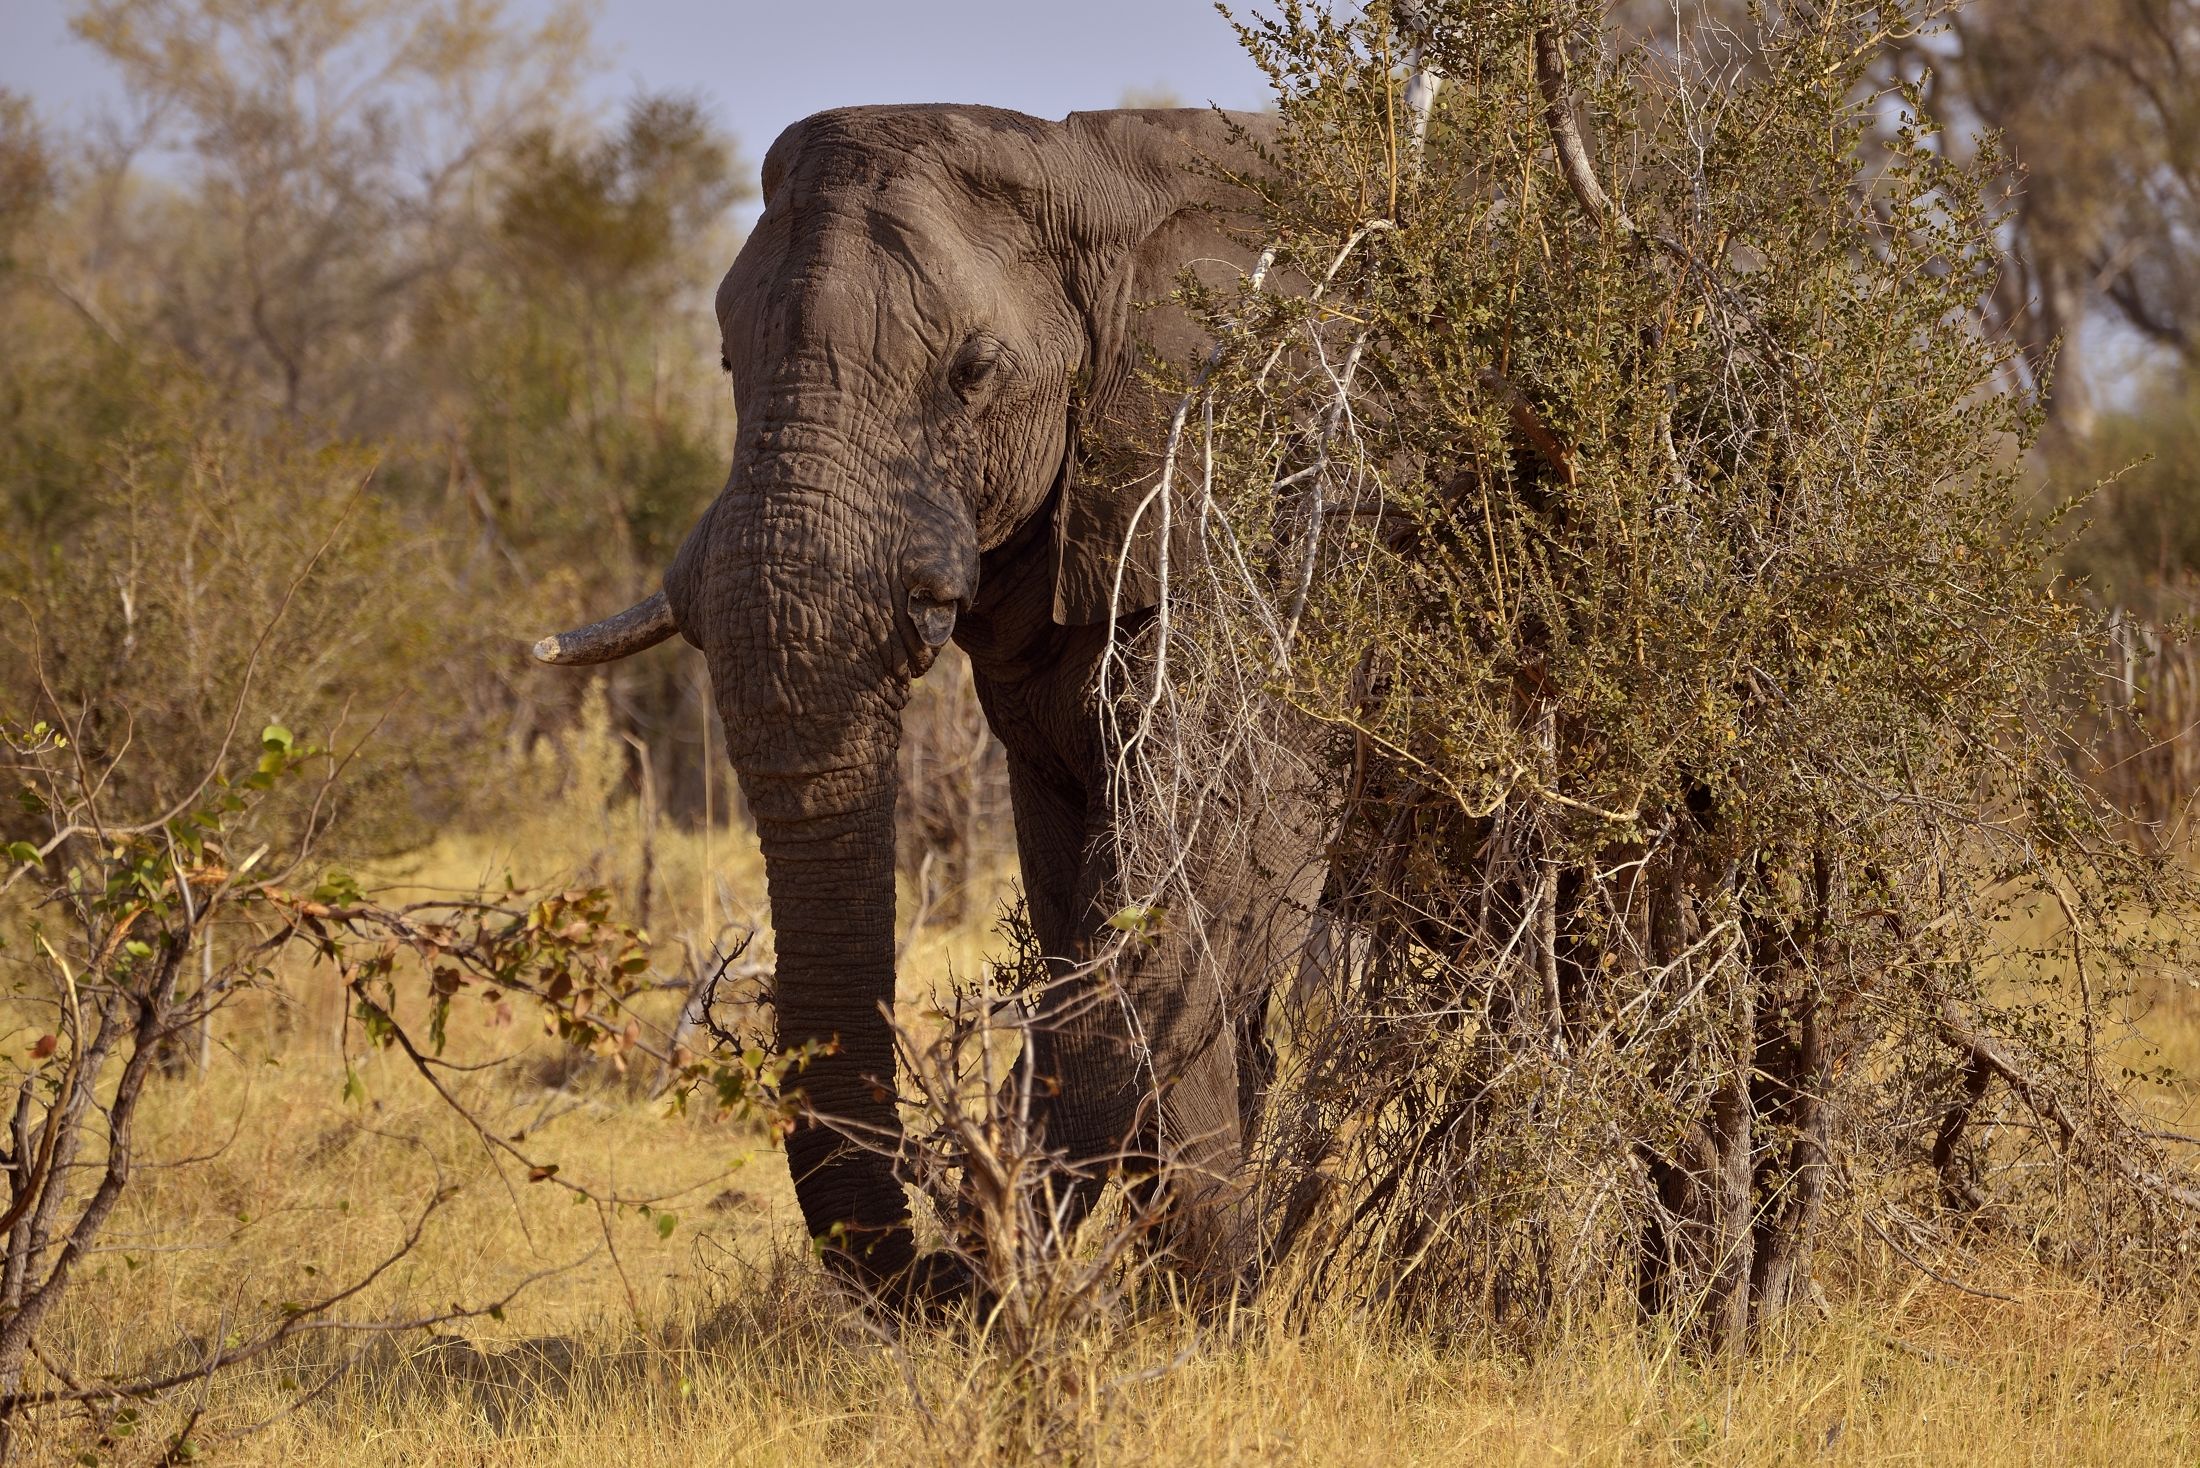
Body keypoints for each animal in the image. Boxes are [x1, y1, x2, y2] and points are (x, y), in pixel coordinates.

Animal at [534, 104, 1326, 1300]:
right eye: (725, 357)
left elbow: (1221, 871)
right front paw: (1181, 1288)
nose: (945, 1270)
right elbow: (1091, 896)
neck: (1097, 171)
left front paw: (1196, 1298)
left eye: (973, 370)